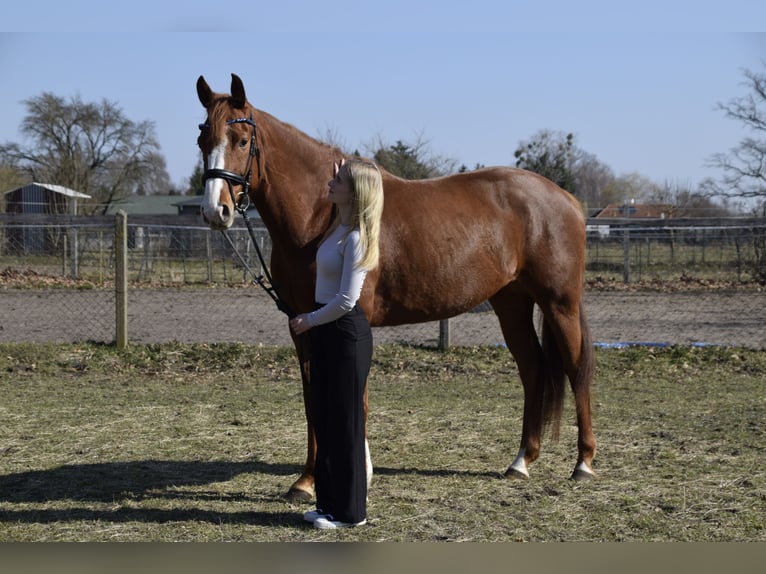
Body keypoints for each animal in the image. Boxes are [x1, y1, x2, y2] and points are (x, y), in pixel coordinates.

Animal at [196, 73, 596, 500]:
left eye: (241, 140)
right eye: (203, 139)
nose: (215, 211)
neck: (323, 216)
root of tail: (567, 199)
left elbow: (357, 397)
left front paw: (360, 473)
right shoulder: (302, 325)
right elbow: (311, 399)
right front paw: (305, 481)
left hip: (559, 304)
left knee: (575, 368)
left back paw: (583, 464)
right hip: (512, 304)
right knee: (533, 369)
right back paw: (521, 461)